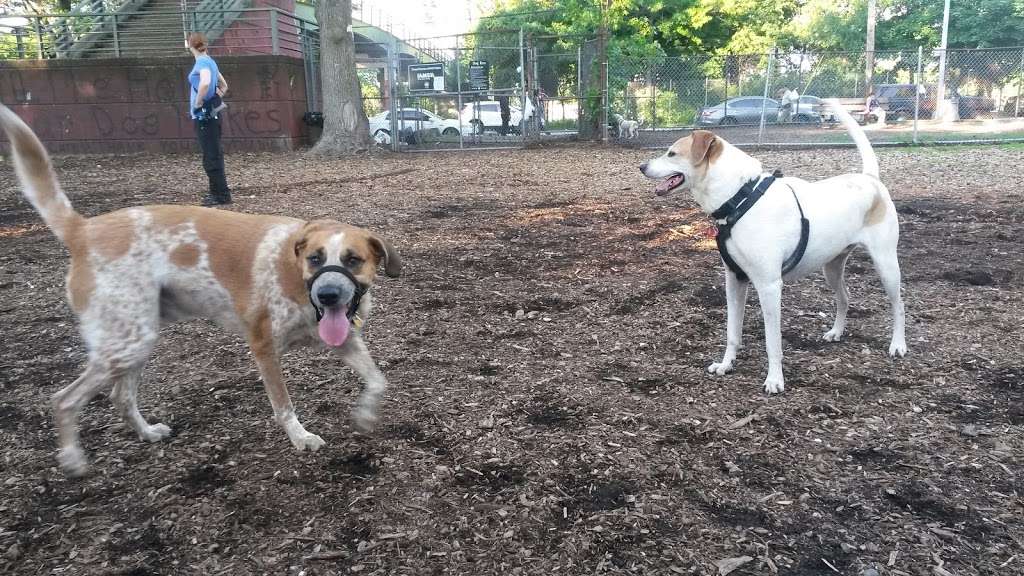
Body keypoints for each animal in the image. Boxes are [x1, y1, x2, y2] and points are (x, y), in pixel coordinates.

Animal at [0, 105, 399, 473]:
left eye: (353, 259)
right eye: (315, 258)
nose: (328, 295)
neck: (296, 280)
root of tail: (83, 230)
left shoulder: (345, 341)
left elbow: (379, 381)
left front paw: (365, 416)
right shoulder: (264, 347)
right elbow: (283, 406)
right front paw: (300, 437)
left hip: (137, 339)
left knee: (120, 396)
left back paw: (147, 433)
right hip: (126, 342)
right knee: (64, 399)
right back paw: (72, 459)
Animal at [638, 100, 905, 391]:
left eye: (672, 153)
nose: (641, 166)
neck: (740, 198)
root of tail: (870, 179)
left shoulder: (769, 286)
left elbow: (772, 341)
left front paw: (775, 379)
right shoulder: (734, 281)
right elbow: (732, 332)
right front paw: (726, 365)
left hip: (886, 265)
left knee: (899, 304)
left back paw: (898, 345)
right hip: (832, 267)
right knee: (844, 298)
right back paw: (836, 332)